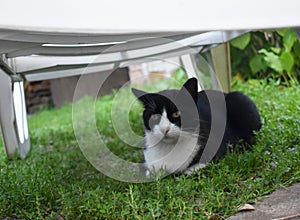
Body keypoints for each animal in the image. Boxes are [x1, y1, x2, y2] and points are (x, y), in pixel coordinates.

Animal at [131, 77, 260, 175]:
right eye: (154, 117)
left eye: (176, 113)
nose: (164, 129)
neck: (169, 148)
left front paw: (192, 169)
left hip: (240, 100)